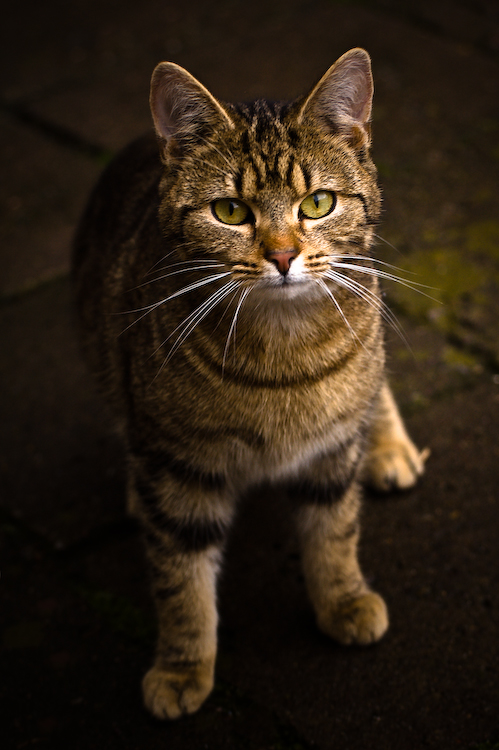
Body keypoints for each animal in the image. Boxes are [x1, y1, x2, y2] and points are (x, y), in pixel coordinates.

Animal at [72, 48, 428, 724]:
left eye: (318, 203)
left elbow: (334, 534)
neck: (282, 354)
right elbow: (181, 581)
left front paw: (344, 601)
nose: (283, 257)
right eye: (230, 212)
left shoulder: (332, 452)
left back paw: (389, 446)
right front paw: (183, 666)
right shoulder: (177, 472)